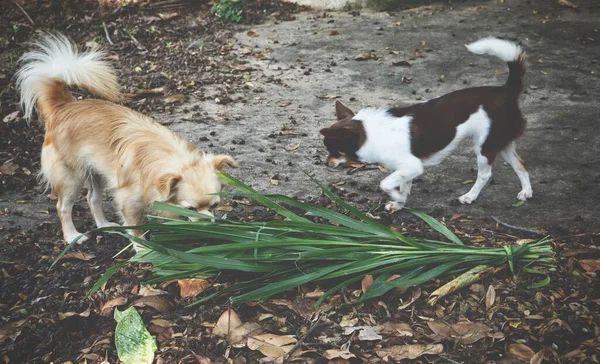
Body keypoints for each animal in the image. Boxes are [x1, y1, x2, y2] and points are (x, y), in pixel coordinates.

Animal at [17, 33, 237, 245]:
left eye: (215, 206)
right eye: (190, 208)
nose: (209, 225)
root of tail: (64, 106)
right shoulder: (129, 201)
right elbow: (136, 228)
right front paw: (144, 249)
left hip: (95, 173)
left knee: (92, 199)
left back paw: (104, 225)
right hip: (71, 177)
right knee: (62, 206)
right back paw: (72, 236)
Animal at [322, 37, 532, 212]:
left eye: (334, 151)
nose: (326, 163)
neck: (369, 132)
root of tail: (506, 91)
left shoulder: (412, 166)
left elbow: (386, 184)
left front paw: (398, 197)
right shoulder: (406, 169)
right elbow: (403, 185)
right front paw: (399, 204)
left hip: (485, 147)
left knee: (485, 175)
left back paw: (469, 196)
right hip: (501, 144)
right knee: (521, 165)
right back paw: (526, 192)